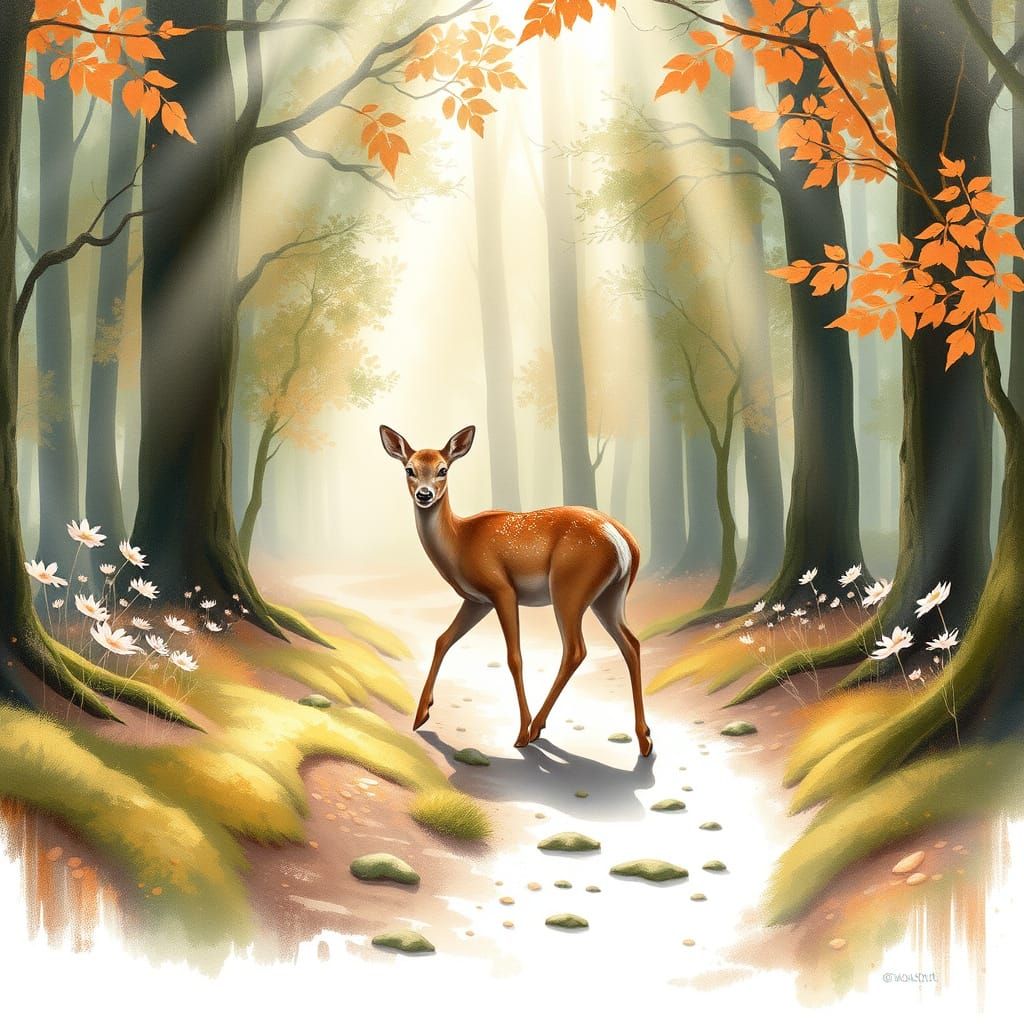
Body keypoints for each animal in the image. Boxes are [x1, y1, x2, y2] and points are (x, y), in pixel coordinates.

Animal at [380, 424, 652, 756]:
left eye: (443, 469)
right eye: (410, 469)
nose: (424, 494)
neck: (460, 542)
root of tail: (624, 540)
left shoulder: (502, 589)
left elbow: (514, 656)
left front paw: (520, 730)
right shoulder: (476, 600)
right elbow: (442, 639)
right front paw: (421, 714)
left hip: (569, 586)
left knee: (576, 648)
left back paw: (534, 729)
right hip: (610, 596)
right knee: (631, 643)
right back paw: (644, 739)